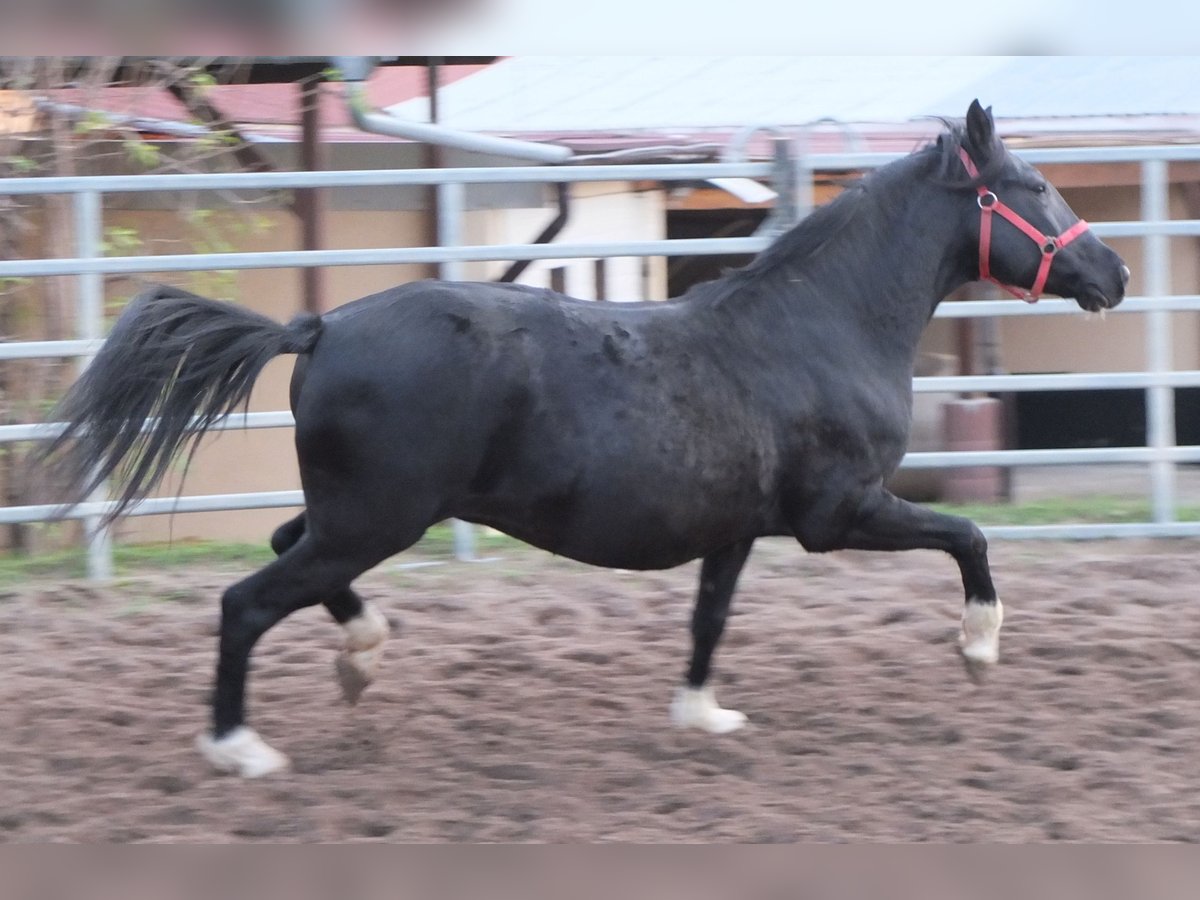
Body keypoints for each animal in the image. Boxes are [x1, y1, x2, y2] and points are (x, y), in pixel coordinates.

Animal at [39, 101, 1129, 777]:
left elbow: (708, 621)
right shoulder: (839, 514)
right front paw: (980, 649)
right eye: (1034, 187)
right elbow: (968, 537)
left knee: (285, 560)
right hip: (376, 519)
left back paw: (362, 656)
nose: (1112, 274)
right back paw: (242, 748)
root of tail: (320, 329)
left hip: (353, 517)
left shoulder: (738, 528)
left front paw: (704, 715)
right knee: (246, 602)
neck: (821, 327)